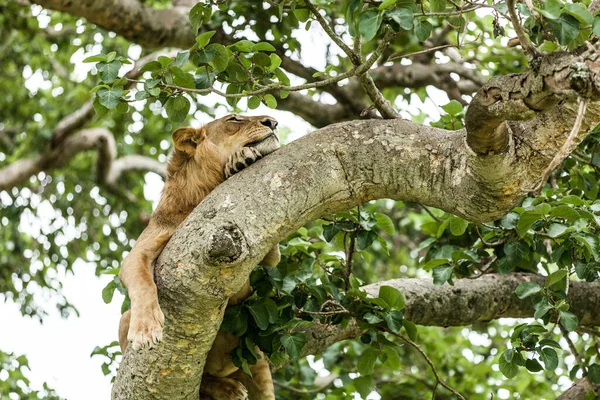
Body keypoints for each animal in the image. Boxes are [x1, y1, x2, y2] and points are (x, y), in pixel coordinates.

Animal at [119, 113, 284, 400]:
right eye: (234, 119)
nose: (273, 122)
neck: (204, 192)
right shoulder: (139, 252)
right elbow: (143, 283)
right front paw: (146, 329)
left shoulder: (264, 249)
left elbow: (272, 255)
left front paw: (240, 160)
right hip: (122, 321)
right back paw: (227, 389)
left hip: (259, 368)